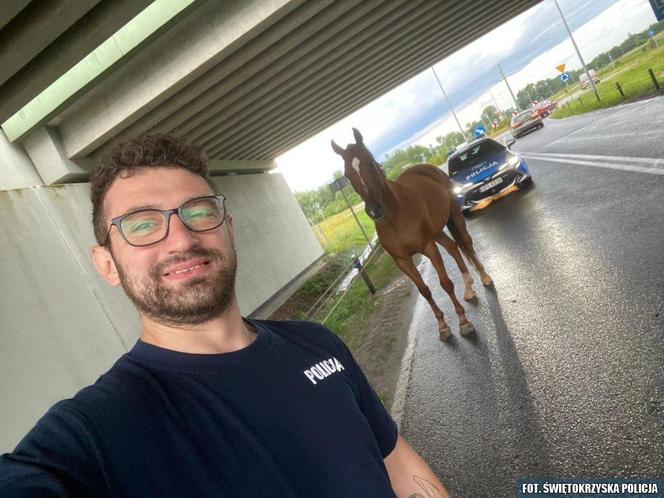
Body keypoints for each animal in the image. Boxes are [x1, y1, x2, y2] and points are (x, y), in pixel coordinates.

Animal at [332, 127, 492, 342]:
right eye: (347, 175)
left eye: (371, 162)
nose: (375, 210)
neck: (395, 217)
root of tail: (428, 168)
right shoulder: (402, 260)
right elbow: (424, 290)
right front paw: (442, 326)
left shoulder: (428, 247)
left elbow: (445, 283)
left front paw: (463, 322)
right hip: (437, 231)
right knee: (453, 247)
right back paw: (467, 288)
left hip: (454, 216)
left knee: (466, 242)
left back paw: (484, 277)